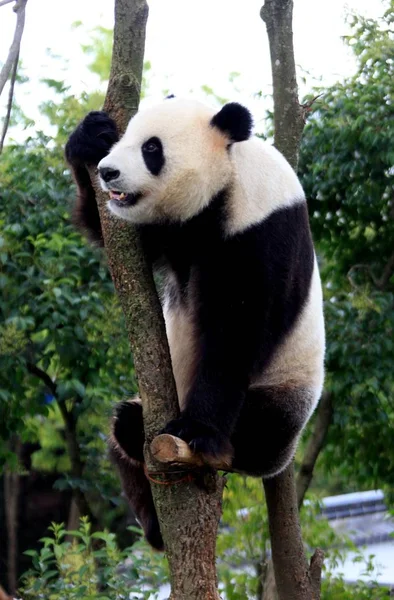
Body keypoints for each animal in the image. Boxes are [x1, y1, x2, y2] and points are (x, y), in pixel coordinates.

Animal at [66, 97, 324, 548]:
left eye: (152, 149)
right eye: (127, 136)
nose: (109, 171)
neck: (229, 175)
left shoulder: (261, 231)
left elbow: (234, 336)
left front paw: (195, 431)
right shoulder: (173, 230)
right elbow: (110, 232)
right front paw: (89, 138)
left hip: (286, 393)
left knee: (261, 428)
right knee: (119, 439)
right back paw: (151, 513)